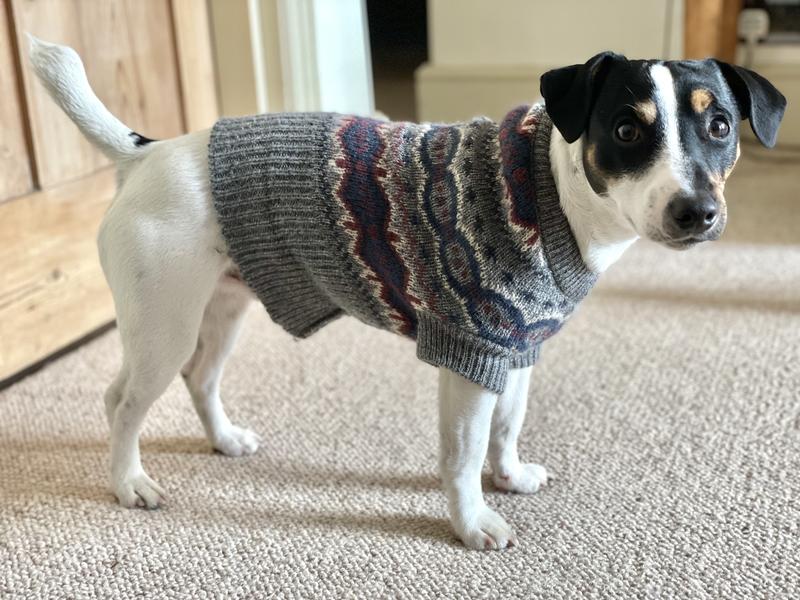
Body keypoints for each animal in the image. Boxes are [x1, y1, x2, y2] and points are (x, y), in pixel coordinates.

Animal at [28, 35, 784, 552]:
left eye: (719, 125)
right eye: (627, 129)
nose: (697, 212)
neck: (553, 193)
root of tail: (146, 152)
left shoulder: (514, 350)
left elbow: (506, 429)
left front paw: (509, 476)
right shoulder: (469, 354)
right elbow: (464, 454)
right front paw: (472, 521)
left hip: (221, 310)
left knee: (197, 379)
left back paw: (223, 440)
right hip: (165, 326)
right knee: (123, 404)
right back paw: (128, 482)